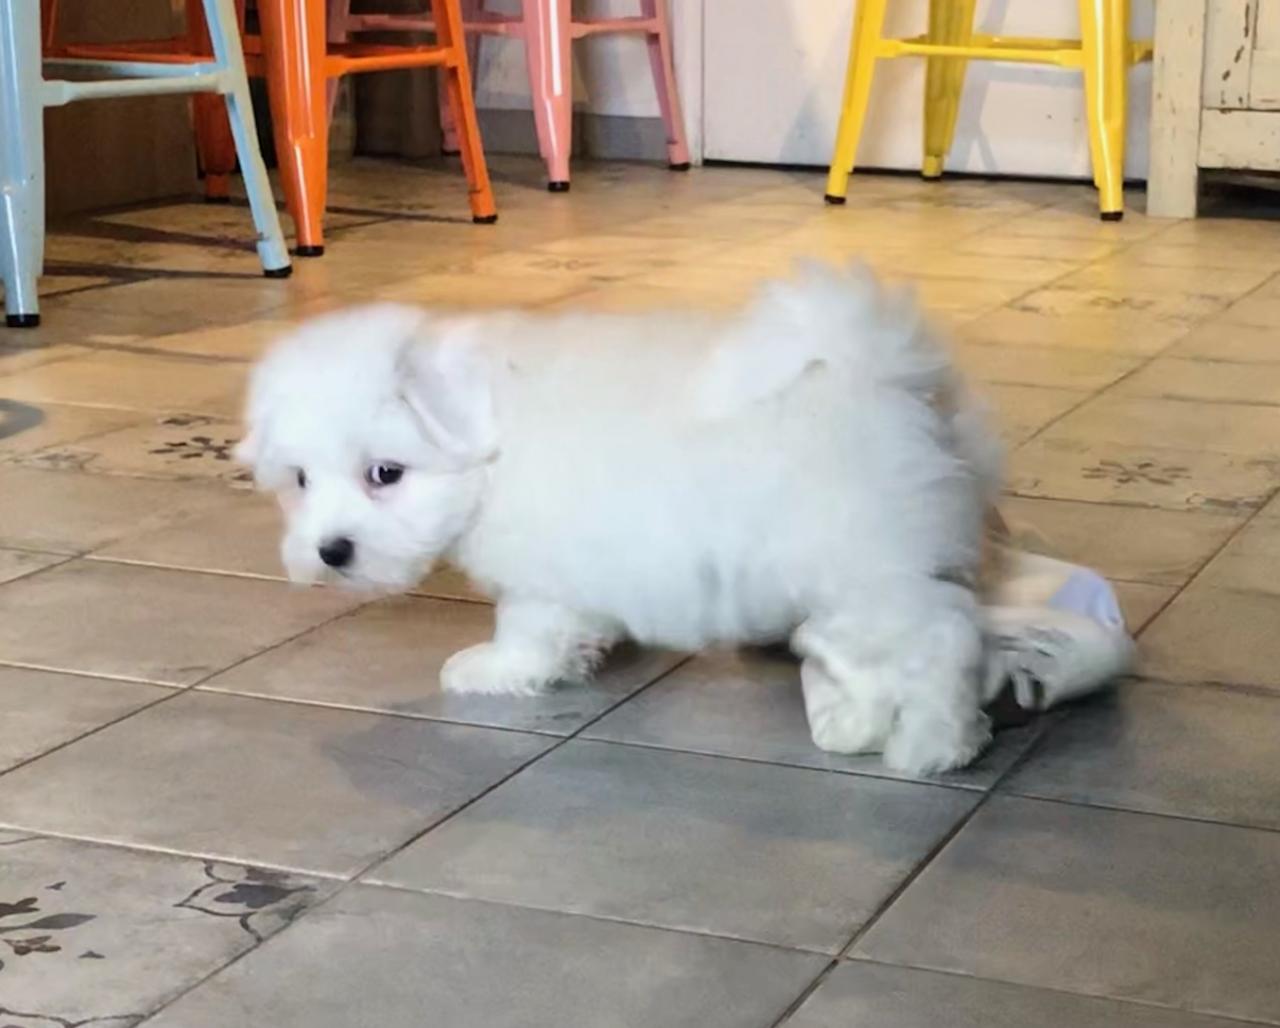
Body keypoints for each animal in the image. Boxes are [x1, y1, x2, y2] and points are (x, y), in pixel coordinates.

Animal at [238, 265, 998, 773]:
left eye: (385, 474)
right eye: (300, 480)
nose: (331, 551)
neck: (494, 435)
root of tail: (881, 369)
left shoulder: (541, 572)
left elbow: (527, 629)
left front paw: (493, 667)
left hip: (858, 564)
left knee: (937, 644)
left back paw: (933, 747)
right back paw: (859, 725)